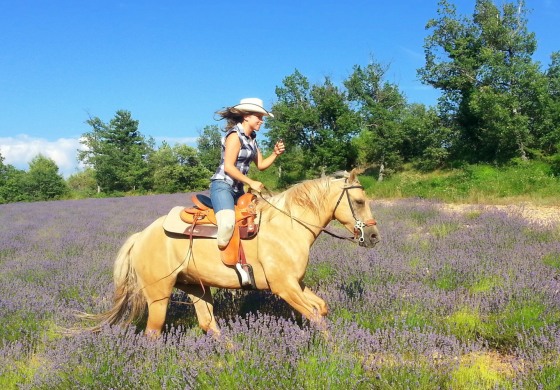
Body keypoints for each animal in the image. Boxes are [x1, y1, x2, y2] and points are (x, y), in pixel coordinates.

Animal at [89, 169, 380, 336]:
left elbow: (321, 308)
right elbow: (316, 317)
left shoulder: (296, 283)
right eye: (359, 201)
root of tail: (140, 237)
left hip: (196, 288)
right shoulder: (284, 287)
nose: (374, 237)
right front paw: (332, 350)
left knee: (209, 324)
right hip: (158, 296)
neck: (288, 225)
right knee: (153, 333)